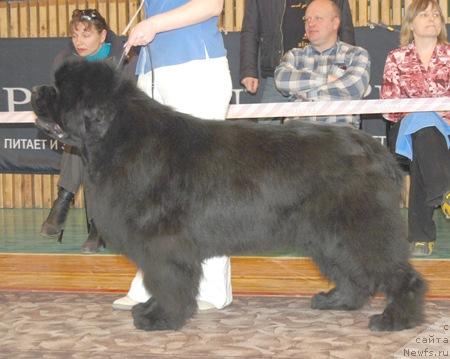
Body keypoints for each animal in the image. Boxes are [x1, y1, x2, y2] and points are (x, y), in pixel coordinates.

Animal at [31, 61, 426, 332]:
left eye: (60, 89)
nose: (35, 91)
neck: (118, 136)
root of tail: (376, 151)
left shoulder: (163, 242)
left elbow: (166, 279)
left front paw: (160, 318)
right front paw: (153, 311)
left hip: (357, 229)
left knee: (398, 274)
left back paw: (396, 319)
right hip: (327, 236)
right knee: (353, 275)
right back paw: (337, 301)